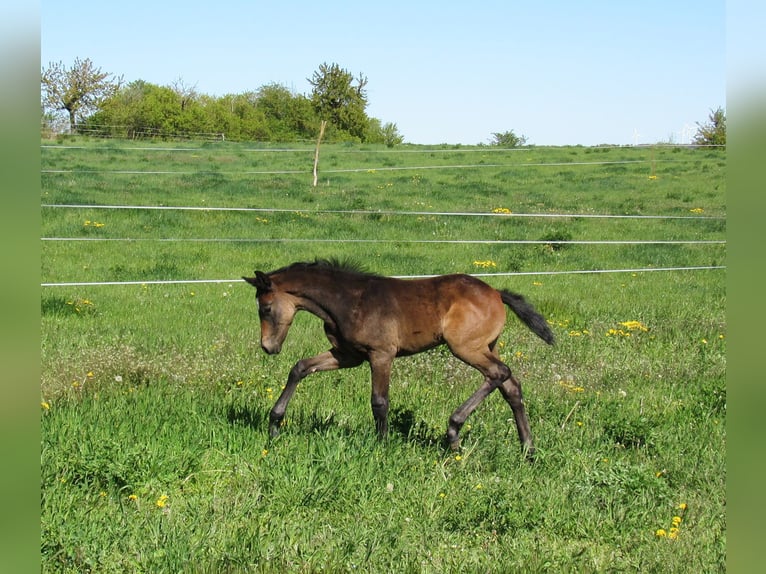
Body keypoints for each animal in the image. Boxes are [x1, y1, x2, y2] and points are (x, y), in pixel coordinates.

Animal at [243, 259, 554, 457]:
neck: (348, 300)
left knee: (499, 373)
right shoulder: (347, 355)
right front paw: (274, 424)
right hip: (488, 345)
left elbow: (379, 402)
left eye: (266, 308)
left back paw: (454, 430)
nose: (268, 347)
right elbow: (300, 368)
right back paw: (528, 449)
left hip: (466, 347)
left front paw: (382, 445)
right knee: (511, 387)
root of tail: (497, 294)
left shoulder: (381, 354)